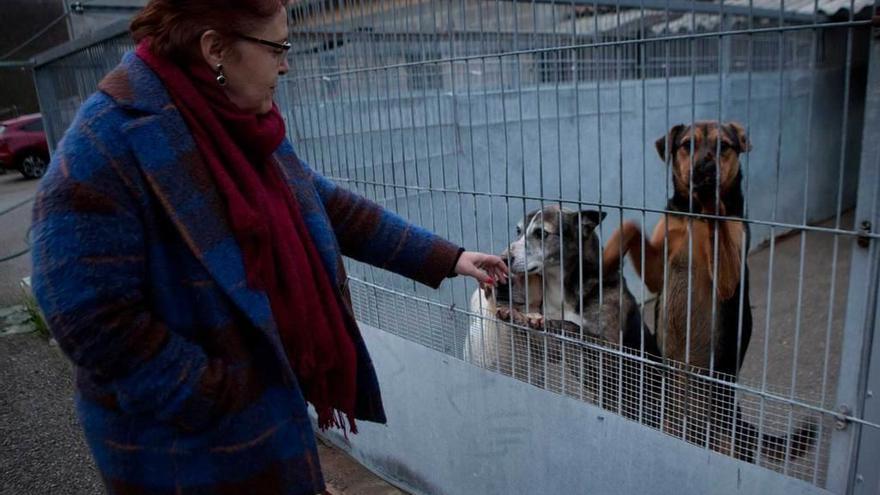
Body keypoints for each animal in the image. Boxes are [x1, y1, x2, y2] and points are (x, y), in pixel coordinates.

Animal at [604, 122, 812, 464]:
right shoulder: (659, 270)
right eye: (687, 144)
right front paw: (605, 257)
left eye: (723, 146)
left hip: (728, 444)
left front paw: (716, 203)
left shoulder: (728, 278)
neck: (695, 216)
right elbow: (630, 226)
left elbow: (722, 232)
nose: (704, 168)